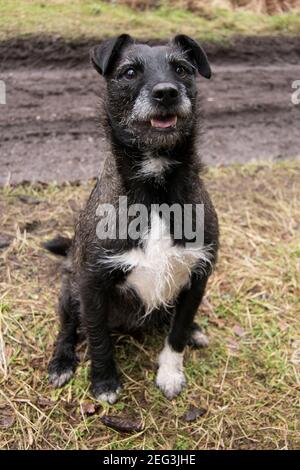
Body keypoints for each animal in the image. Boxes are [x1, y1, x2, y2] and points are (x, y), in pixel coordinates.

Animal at [46, 34, 218, 404]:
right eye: (128, 72)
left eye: (182, 69)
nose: (167, 92)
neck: (155, 187)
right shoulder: (91, 284)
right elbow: (98, 337)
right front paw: (104, 382)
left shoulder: (198, 277)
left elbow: (177, 332)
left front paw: (170, 373)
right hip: (69, 289)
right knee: (68, 327)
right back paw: (62, 360)